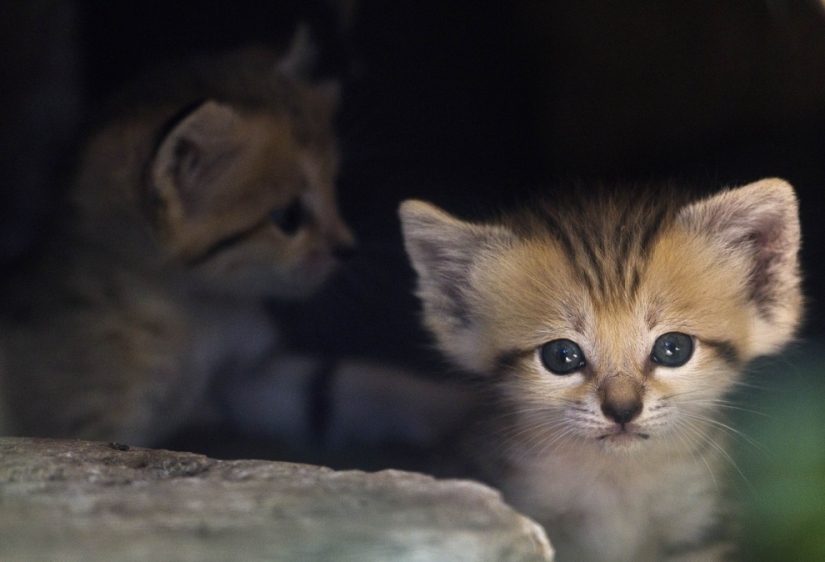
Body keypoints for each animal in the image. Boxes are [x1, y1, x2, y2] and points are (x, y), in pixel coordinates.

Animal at [0, 30, 356, 444]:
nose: (348, 248)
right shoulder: (96, 424)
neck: (200, 316)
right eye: (288, 216)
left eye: (335, 187)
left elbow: (338, 387)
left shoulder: (245, 376)